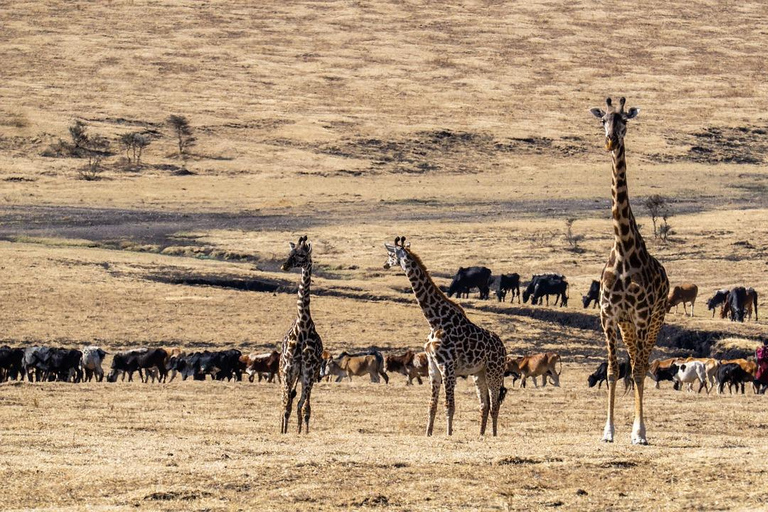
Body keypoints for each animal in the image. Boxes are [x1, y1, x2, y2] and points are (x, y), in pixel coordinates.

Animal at [384, 237, 510, 436]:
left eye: (390, 254)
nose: (385, 264)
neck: (435, 321)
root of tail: (503, 347)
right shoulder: (433, 366)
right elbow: (432, 405)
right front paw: (428, 433)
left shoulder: (447, 366)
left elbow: (449, 405)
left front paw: (449, 434)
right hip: (478, 373)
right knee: (485, 405)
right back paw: (481, 434)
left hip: (494, 371)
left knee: (495, 404)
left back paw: (494, 434)